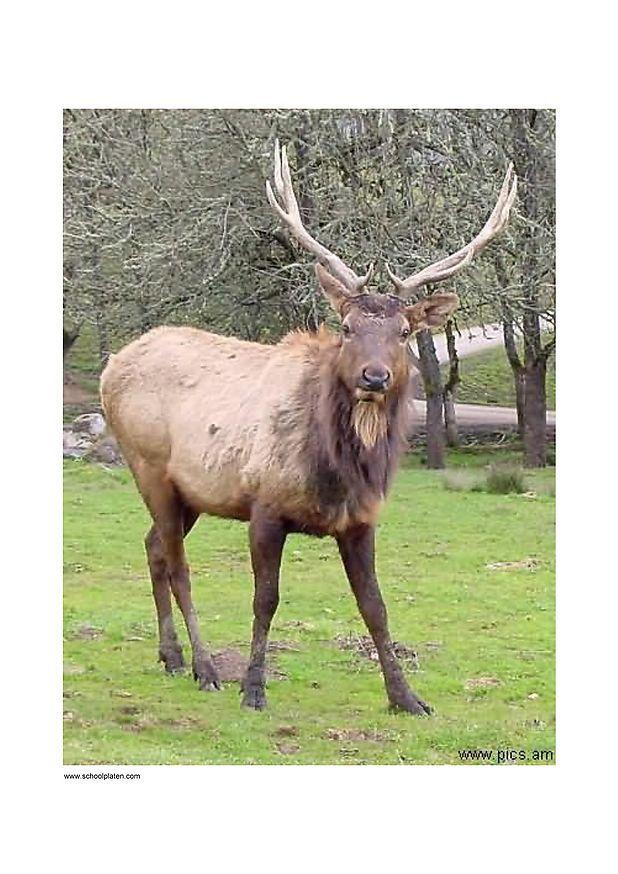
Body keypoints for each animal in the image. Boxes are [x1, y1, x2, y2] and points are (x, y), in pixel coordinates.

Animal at [100, 142, 517, 715]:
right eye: (346, 326)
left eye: (403, 331)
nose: (374, 376)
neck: (340, 471)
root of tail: (110, 366)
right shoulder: (264, 506)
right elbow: (265, 599)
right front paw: (254, 687)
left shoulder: (362, 519)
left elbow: (375, 606)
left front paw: (407, 697)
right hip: (149, 467)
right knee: (179, 566)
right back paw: (205, 668)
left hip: (191, 493)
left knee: (153, 548)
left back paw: (172, 657)